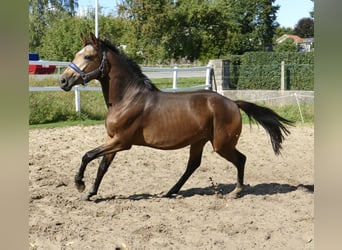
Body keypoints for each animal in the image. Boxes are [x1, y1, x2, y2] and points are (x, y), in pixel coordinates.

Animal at [59, 32, 294, 201]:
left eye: (88, 56)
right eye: (76, 55)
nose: (63, 81)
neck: (127, 98)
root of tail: (232, 103)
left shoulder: (122, 142)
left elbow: (87, 155)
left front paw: (80, 184)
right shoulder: (111, 140)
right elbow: (102, 166)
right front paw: (91, 193)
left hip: (221, 144)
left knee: (240, 159)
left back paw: (236, 191)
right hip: (200, 141)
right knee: (193, 165)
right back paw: (170, 191)